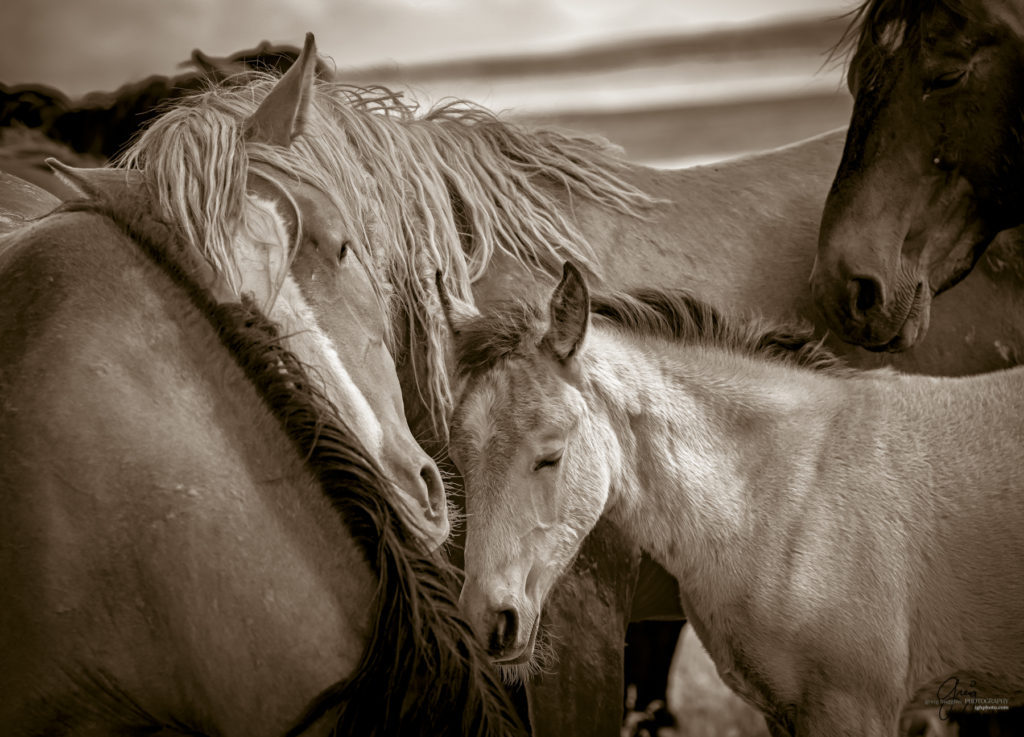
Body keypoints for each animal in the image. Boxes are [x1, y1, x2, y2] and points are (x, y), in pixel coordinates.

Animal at [444, 264, 1024, 737]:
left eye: (550, 455)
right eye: (458, 460)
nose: (487, 619)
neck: (793, 492)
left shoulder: (853, 709)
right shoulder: (784, 714)